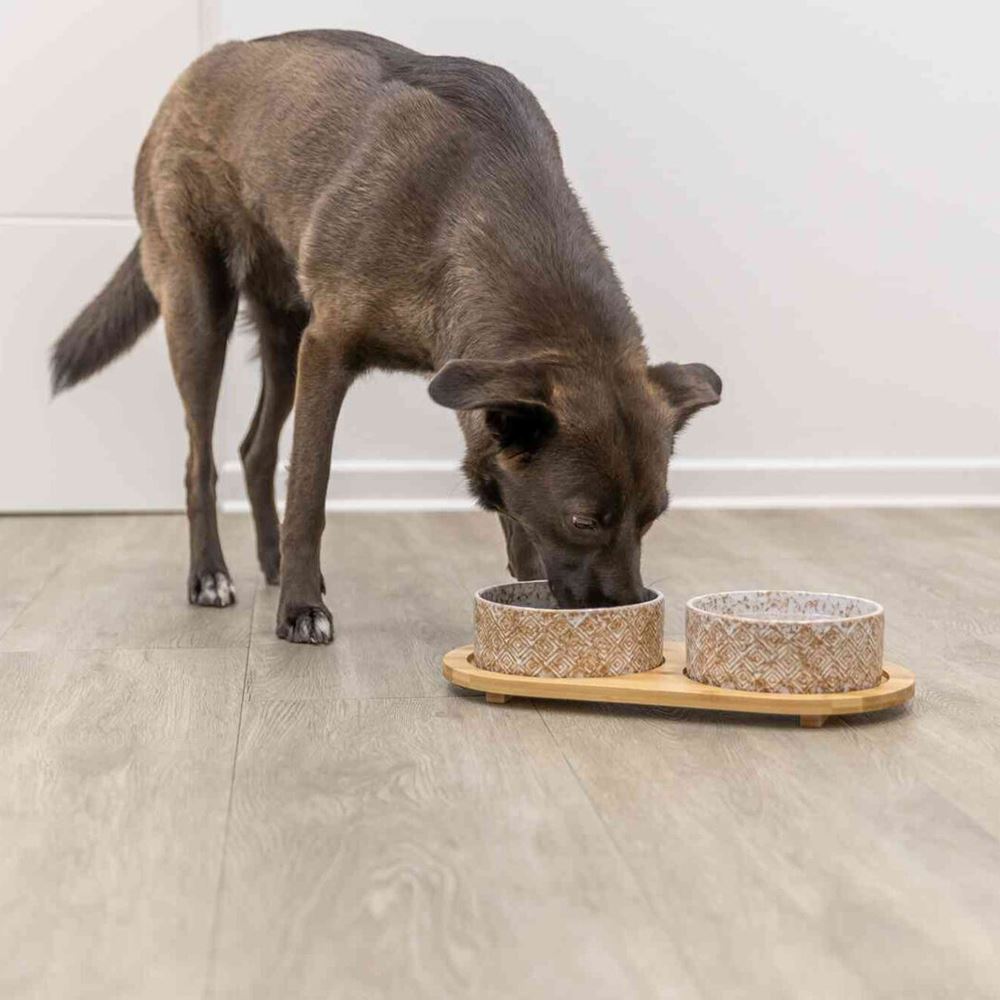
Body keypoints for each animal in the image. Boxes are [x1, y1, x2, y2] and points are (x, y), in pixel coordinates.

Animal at [50, 31, 724, 644]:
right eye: (585, 521)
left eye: (654, 515)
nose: (628, 609)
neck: (468, 202)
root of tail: (194, 72)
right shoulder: (328, 351)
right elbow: (311, 490)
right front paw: (301, 610)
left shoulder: (461, 379)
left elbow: (507, 499)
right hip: (201, 312)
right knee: (202, 461)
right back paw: (211, 576)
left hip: (285, 337)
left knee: (254, 450)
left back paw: (270, 562)